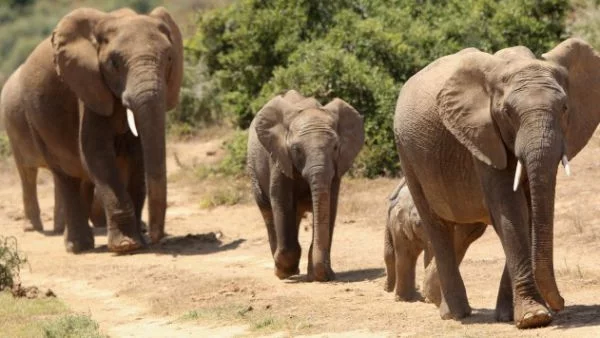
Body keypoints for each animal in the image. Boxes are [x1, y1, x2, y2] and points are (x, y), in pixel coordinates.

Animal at [0, 7, 183, 254]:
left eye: (170, 58)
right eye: (114, 63)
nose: (157, 238)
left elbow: (137, 157)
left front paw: (139, 241)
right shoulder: (88, 86)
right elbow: (96, 154)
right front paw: (126, 246)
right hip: (29, 123)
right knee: (57, 175)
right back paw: (75, 246)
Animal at [246, 88, 364, 282]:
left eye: (335, 147)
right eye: (296, 150)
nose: (326, 276)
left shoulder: (336, 166)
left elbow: (330, 205)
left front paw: (319, 275)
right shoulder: (279, 157)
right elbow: (282, 202)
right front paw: (284, 272)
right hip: (253, 169)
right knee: (268, 212)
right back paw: (282, 269)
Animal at [392, 38, 600, 328]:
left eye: (565, 108)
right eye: (508, 113)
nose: (561, 303)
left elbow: (527, 212)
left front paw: (513, 316)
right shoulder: (481, 134)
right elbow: (511, 209)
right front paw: (534, 317)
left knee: (466, 229)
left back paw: (437, 298)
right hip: (407, 154)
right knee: (436, 225)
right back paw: (455, 314)